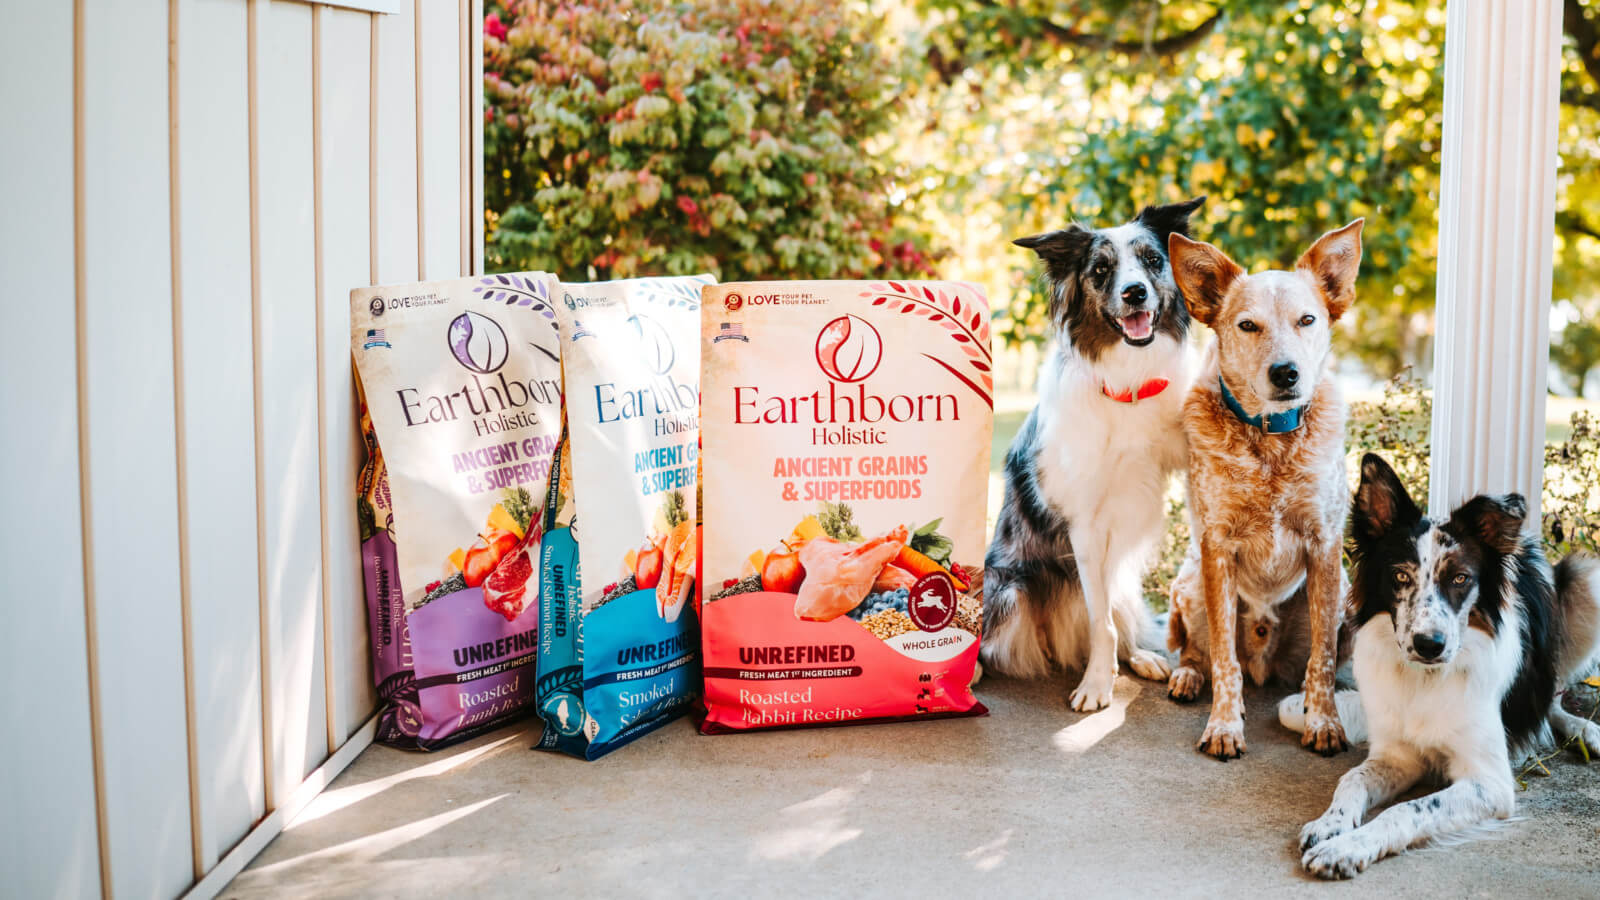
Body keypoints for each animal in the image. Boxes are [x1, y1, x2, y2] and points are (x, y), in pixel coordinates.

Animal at [979, 196, 1203, 707]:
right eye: (1101, 270)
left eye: (1153, 260)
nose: (1135, 293)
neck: (1128, 384)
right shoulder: (1085, 525)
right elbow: (1101, 622)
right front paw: (1098, 684)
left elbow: (1109, 617)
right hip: (1008, 589)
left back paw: (1141, 656)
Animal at [1164, 219, 1363, 755]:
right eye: (1247, 325)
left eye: (1307, 320)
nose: (1285, 372)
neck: (1272, 441)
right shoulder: (1216, 548)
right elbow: (1223, 659)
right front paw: (1224, 724)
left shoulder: (1324, 544)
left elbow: (1323, 659)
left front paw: (1324, 721)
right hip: (1191, 584)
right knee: (1199, 652)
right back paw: (1187, 677)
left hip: (1344, 597)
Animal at [1280, 451, 1600, 871]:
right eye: (1401, 576)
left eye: (1461, 578)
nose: (1429, 644)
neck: (1426, 680)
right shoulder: (1397, 756)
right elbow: (1351, 779)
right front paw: (1330, 824)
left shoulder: (1489, 783)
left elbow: (1405, 810)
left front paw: (1346, 848)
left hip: (1588, 581)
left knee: (1553, 697)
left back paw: (1584, 731)